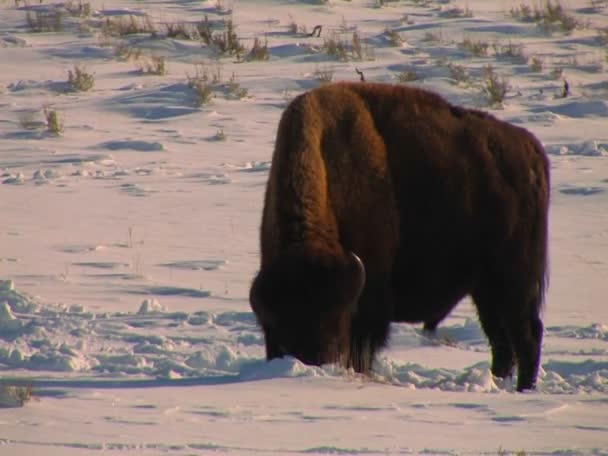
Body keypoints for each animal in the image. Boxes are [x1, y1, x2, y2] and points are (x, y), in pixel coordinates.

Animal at [249, 82, 548, 392]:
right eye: (281, 328)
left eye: (335, 323)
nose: (315, 362)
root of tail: (531, 150)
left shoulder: (367, 308)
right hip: (485, 287)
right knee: (501, 339)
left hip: (514, 280)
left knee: (526, 334)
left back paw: (523, 389)